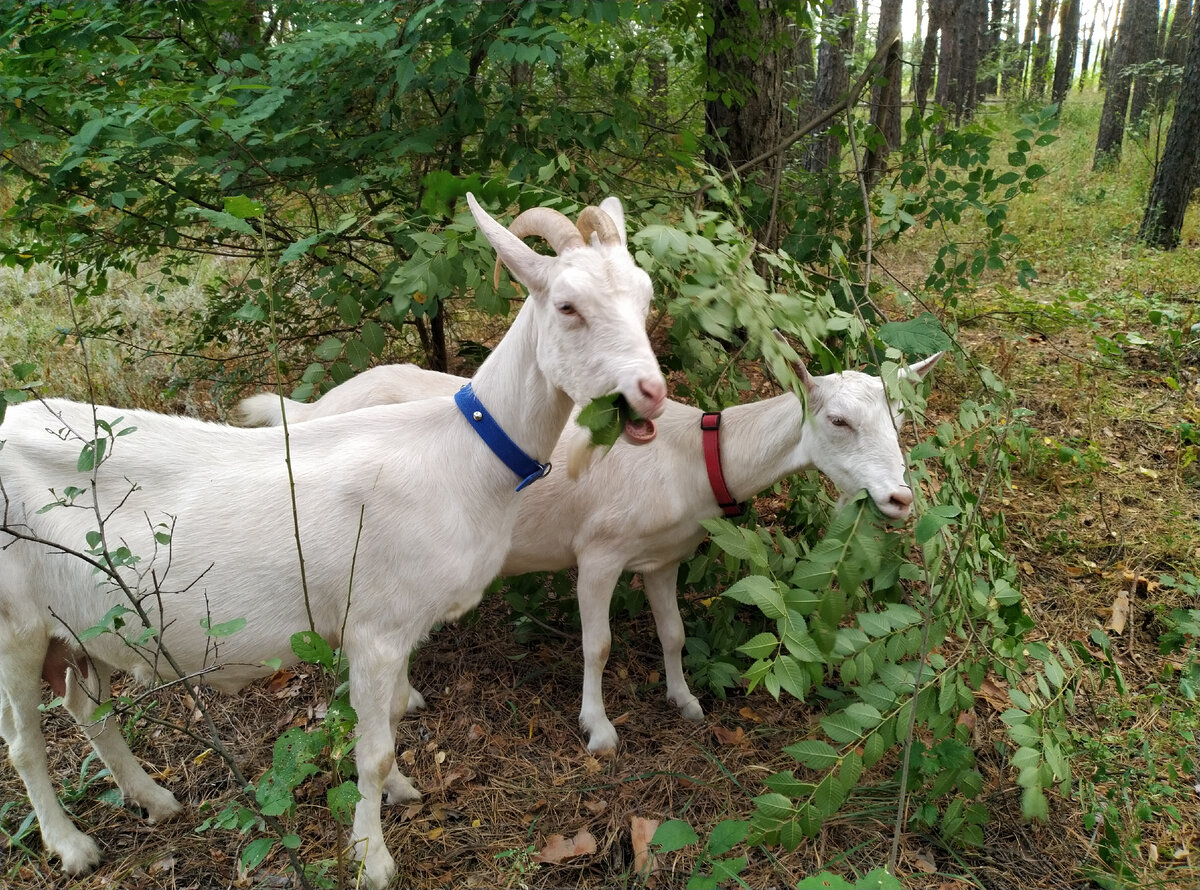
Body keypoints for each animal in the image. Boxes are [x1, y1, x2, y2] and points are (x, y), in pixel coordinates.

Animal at [0, 191, 667, 887]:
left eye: (645, 296)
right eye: (567, 306)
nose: (650, 393)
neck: (462, 453)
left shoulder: (399, 629)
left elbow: (393, 716)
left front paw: (399, 793)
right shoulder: (375, 629)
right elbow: (372, 749)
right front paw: (372, 857)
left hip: (88, 626)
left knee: (90, 713)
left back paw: (155, 799)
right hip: (15, 625)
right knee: (24, 742)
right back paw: (71, 845)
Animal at [238, 352, 940, 758]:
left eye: (899, 417)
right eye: (839, 421)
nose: (900, 498)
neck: (689, 458)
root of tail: (309, 407)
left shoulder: (663, 558)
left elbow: (673, 632)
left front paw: (685, 702)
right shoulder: (599, 552)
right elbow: (597, 644)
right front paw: (599, 730)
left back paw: (406, 697)